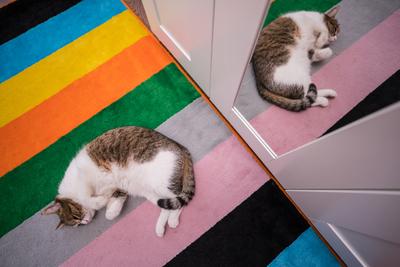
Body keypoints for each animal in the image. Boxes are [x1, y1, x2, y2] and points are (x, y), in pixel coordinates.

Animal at [42, 126, 195, 238]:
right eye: (77, 225)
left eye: (76, 217)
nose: (85, 221)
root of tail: (178, 146)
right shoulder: (120, 186)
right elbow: (112, 207)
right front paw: (111, 208)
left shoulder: (82, 182)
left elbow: (90, 200)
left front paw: (102, 201)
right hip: (149, 192)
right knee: (167, 205)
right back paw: (160, 228)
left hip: (159, 182)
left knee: (178, 198)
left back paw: (173, 220)